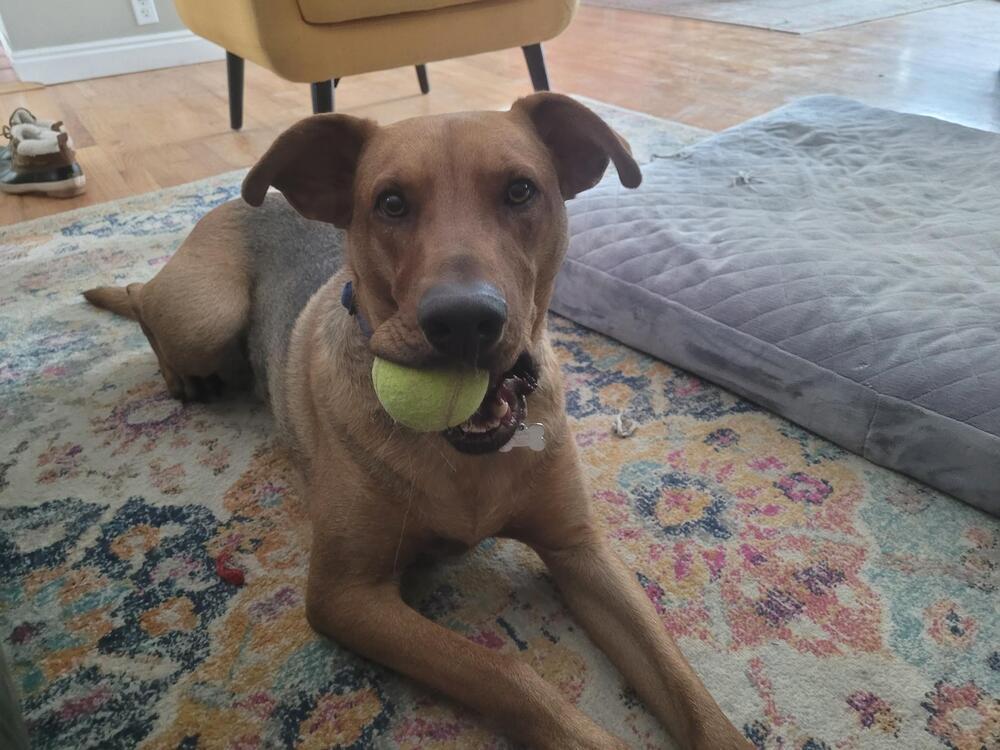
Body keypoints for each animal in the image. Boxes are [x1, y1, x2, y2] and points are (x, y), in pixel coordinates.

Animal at [86, 95, 752, 750]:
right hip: (207, 316)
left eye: (520, 191)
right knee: (141, 298)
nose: (464, 321)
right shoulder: (345, 595)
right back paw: (174, 366)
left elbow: (686, 688)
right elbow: (503, 672)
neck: (466, 457)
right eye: (391, 202)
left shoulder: (581, 550)